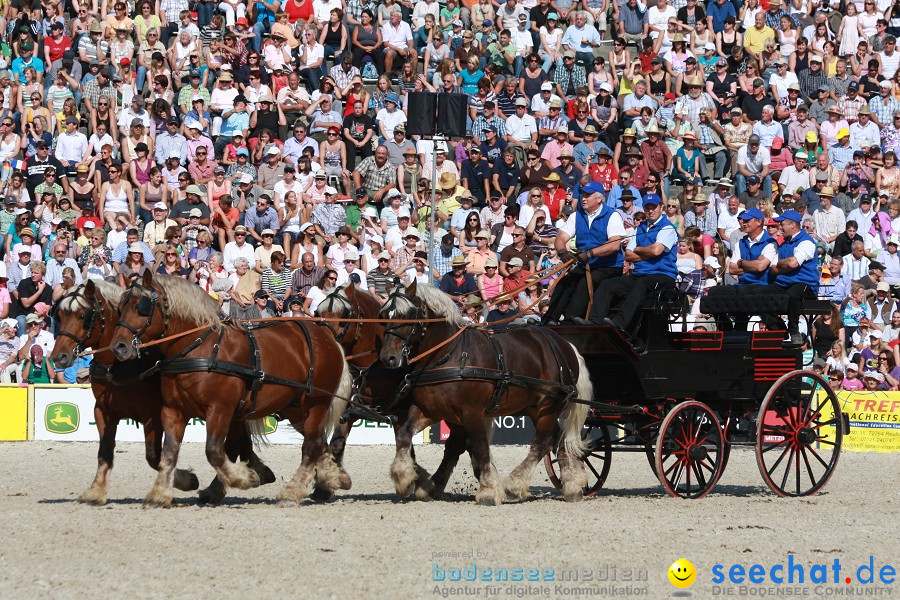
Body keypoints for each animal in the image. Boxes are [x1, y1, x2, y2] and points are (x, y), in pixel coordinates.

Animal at [49, 282, 274, 506]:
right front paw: (95, 491)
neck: (118, 366)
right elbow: (104, 451)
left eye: (83, 315)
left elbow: (154, 456)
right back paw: (256, 472)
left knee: (233, 444)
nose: (58, 357)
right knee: (240, 442)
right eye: (59, 314)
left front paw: (185, 480)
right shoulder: (104, 411)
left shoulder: (152, 414)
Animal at [109, 272, 352, 506]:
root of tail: (327, 338)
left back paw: (292, 492)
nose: (118, 347)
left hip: (316, 403)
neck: (202, 349)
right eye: (120, 307)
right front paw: (159, 494)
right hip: (295, 408)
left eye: (141, 306)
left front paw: (246, 478)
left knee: (311, 446)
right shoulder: (173, 411)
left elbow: (215, 452)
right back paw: (333, 478)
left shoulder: (220, 410)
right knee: (319, 442)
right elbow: (169, 453)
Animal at [378, 280, 592, 502]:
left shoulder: (472, 412)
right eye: (383, 315)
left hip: (549, 405)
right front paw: (404, 477)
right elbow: (404, 435)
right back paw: (572, 487)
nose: (388, 358)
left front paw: (488, 490)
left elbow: (481, 448)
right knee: (557, 442)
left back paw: (517, 483)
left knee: (542, 442)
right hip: (536, 407)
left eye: (407, 315)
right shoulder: (429, 410)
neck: (449, 356)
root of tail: (564, 343)